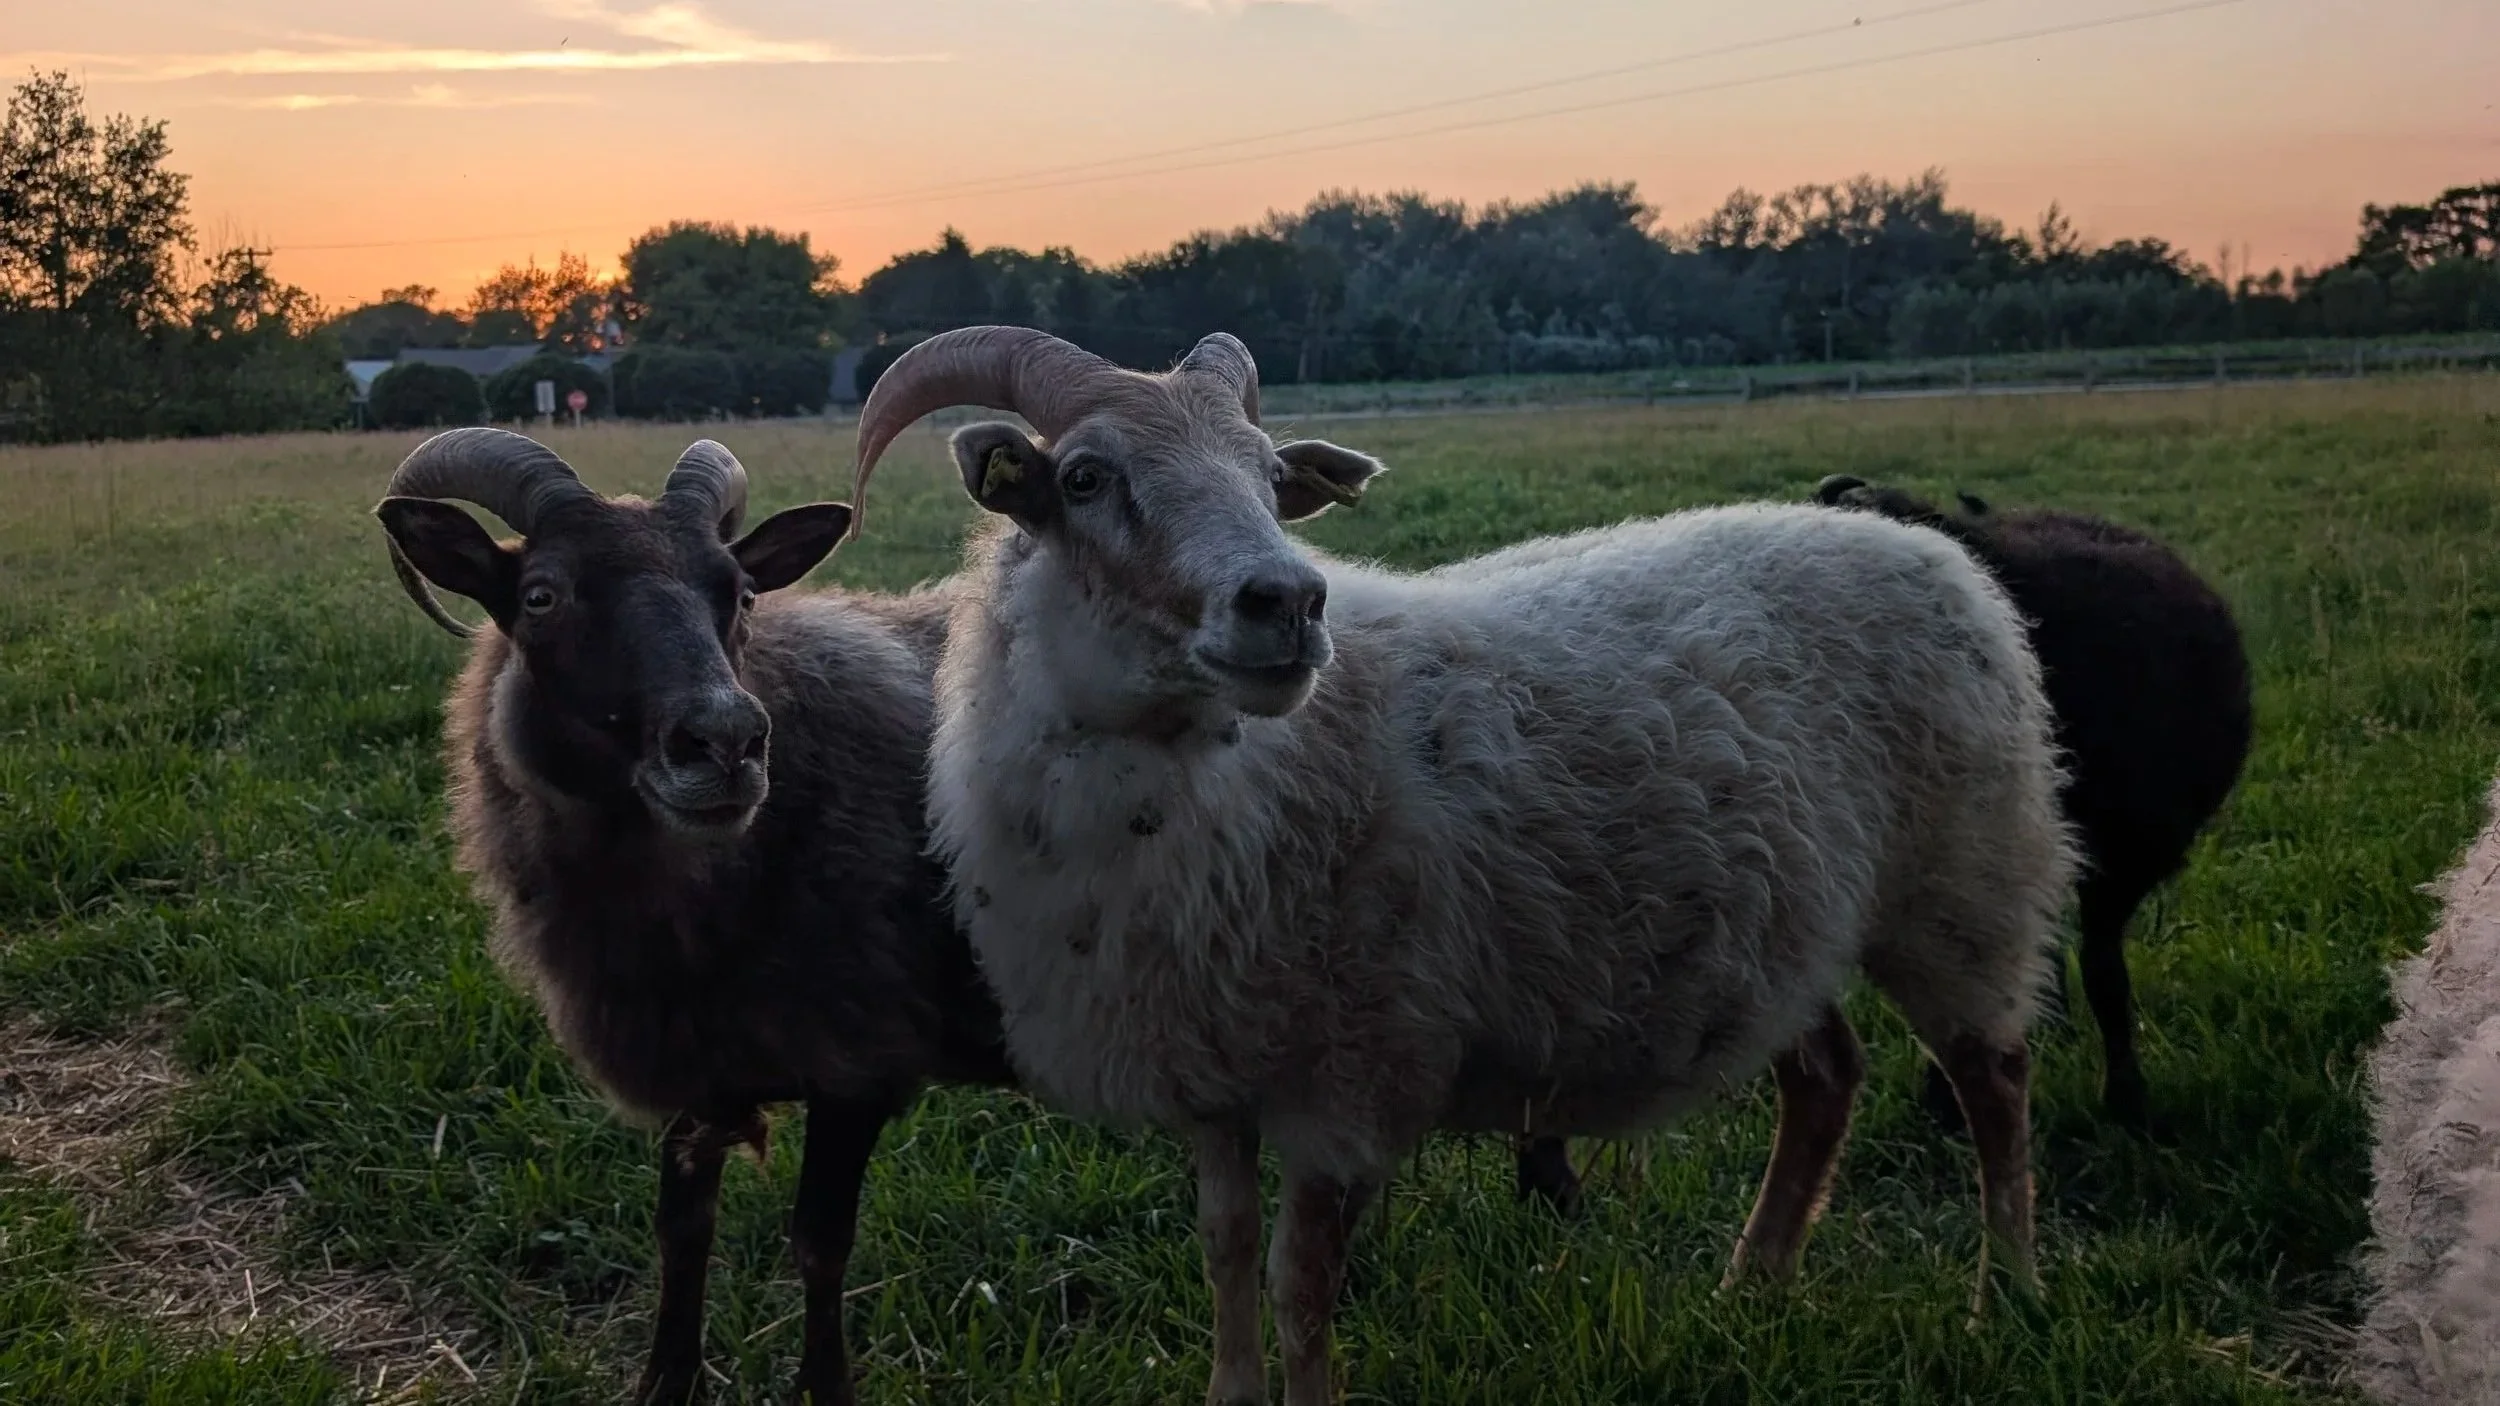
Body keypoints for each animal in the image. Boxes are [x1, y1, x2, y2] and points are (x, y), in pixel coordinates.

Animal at [375, 428, 1014, 1406]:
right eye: (541, 594)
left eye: (742, 593)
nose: (727, 743)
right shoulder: (693, 1050)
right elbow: (683, 1232)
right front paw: (665, 1381)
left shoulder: (861, 1058)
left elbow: (820, 1244)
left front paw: (825, 1388)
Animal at [843, 326, 2078, 1406]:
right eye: (1088, 477)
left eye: (1269, 476)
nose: (1287, 602)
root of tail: (1932, 551)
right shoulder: (1210, 1060)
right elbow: (1225, 1252)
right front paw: (1230, 1392)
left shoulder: (1350, 1069)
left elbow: (1299, 1283)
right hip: (1780, 924)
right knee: (1825, 1079)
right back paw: (1753, 1284)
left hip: (1964, 877)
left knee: (1995, 1080)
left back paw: (2007, 1292)